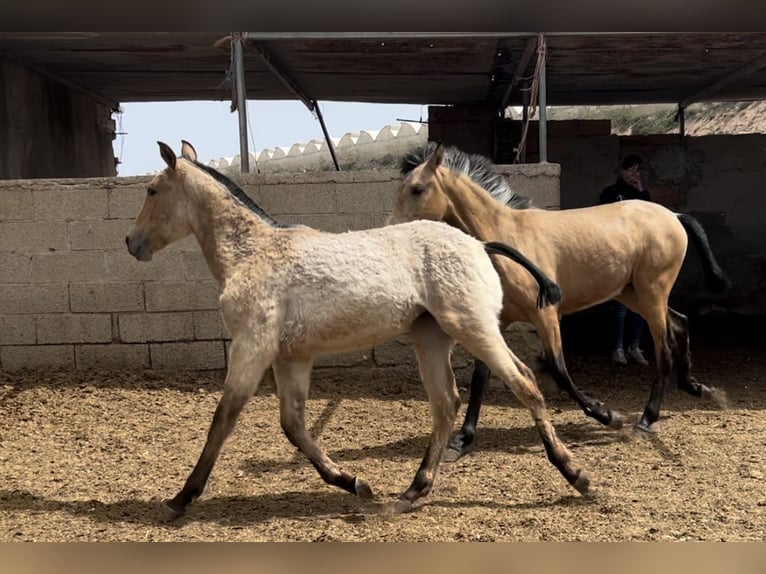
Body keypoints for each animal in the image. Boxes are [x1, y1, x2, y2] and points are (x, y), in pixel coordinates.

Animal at [126, 141, 592, 516]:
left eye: (152, 190)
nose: (132, 243)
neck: (251, 253)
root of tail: (479, 243)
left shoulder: (251, 347)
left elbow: (224, 418)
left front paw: (181, 498)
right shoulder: (291, 357)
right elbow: (294, 425)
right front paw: (353, 483)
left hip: (473, 327)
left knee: (524, 382)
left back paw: (577, 475)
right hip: (433, 337)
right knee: (447, 403)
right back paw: (410, 492)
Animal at [396, 145, 732, 464]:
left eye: (417, 189)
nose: (394, 228)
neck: (509, 237)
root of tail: (673, 216)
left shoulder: (546, 315)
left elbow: (558, 369)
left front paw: (608, 416)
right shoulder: (497, 321)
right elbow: (482, 376)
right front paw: (461, 441)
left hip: (652, 293)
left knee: (664, 349)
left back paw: (647, 419)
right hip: (632, 294)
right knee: (680, 322)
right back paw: (697, 388)